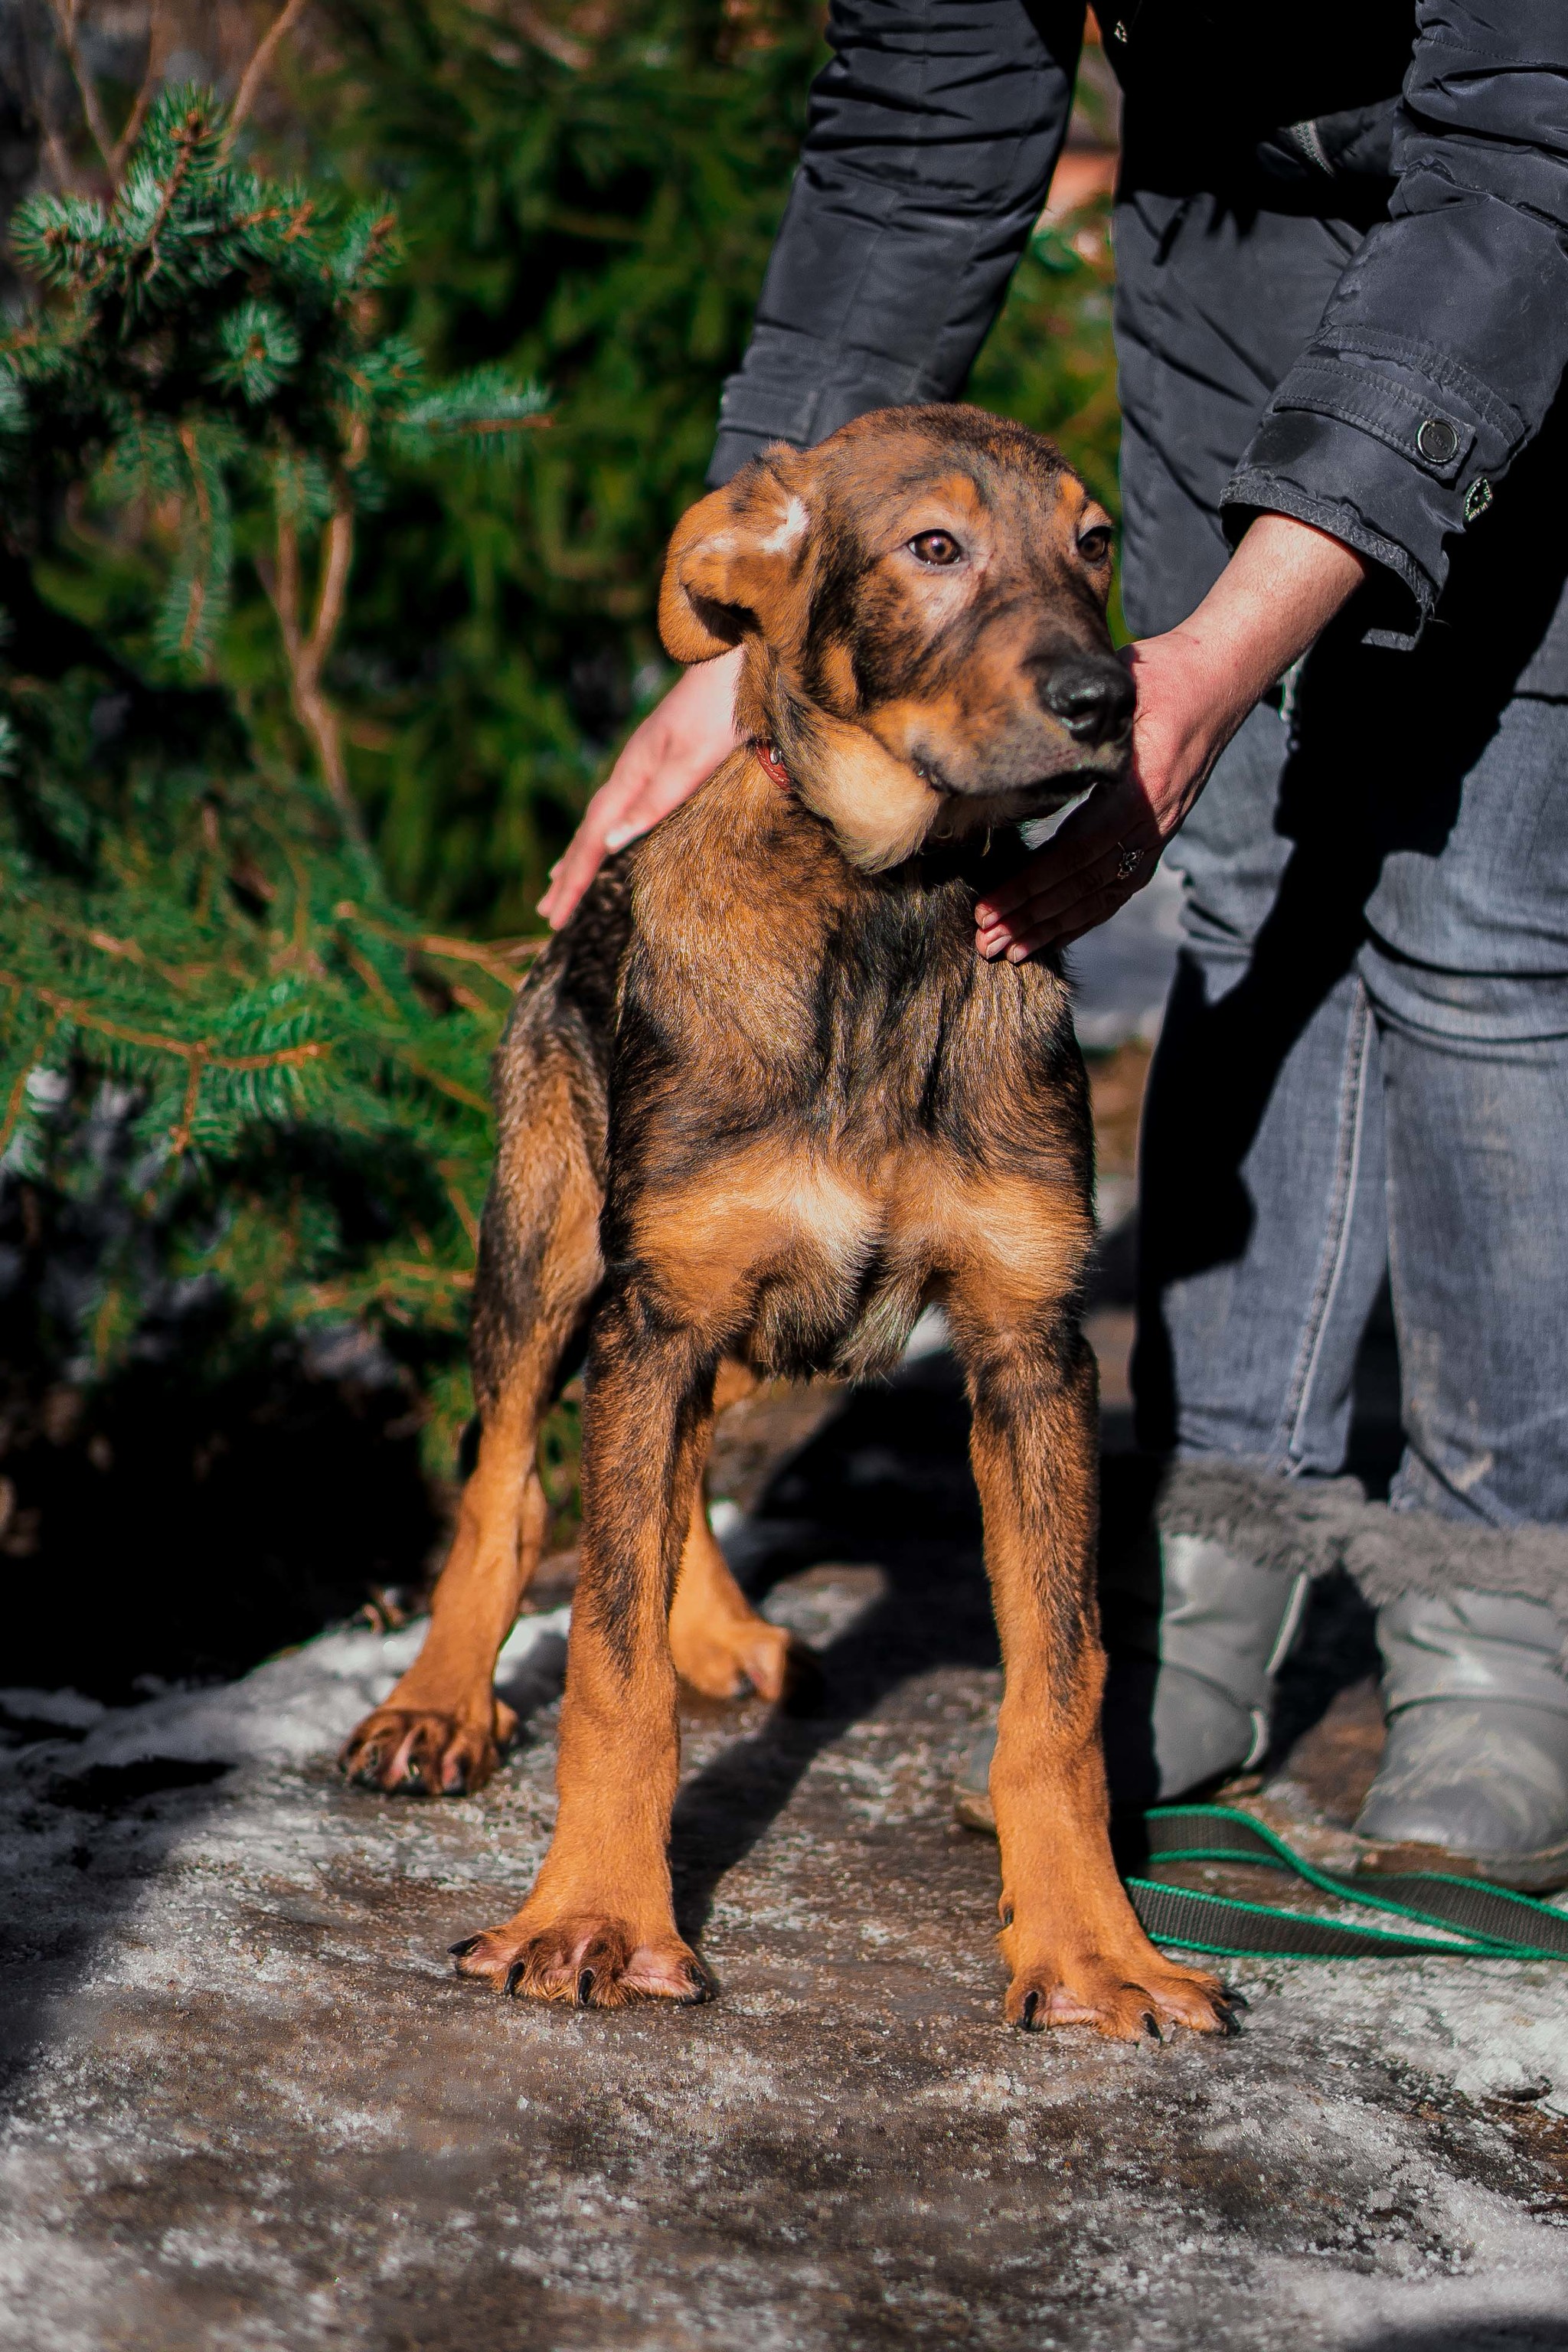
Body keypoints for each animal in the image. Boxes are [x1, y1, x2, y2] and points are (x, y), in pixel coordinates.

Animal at [343, 404, 1241, 2041]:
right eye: (932, 547)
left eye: (1092, 543)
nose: (1109, 699)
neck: (886, 917)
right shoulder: (658, 1304)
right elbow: (610, 1663)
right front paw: (593, 1917)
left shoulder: (1027, 1343)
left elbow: (1060, 1686)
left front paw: (1092, 1950)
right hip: (561, 1242)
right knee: (509, 1476)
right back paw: (438, 1702)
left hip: (750, 1311)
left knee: (682, 1459)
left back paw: (713, 1626)